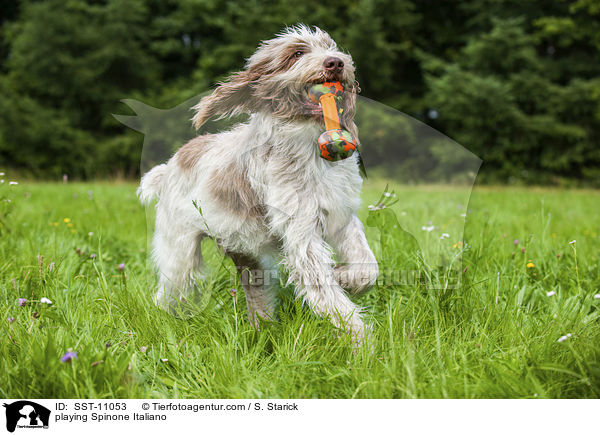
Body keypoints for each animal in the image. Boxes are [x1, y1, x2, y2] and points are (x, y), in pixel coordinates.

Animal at [138, 24, 378, 344]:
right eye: (297, 53)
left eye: (331, 47)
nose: (336, 63)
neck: (307, 149)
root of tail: (168, 167)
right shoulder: (302, 236)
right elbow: (329, 297)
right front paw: (361, 341)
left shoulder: (341, 217)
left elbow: (368, 268)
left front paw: (345, 277)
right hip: (180, 255)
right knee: (167, 294)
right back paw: (161, 326)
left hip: (250, 260)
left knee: (257, 302)